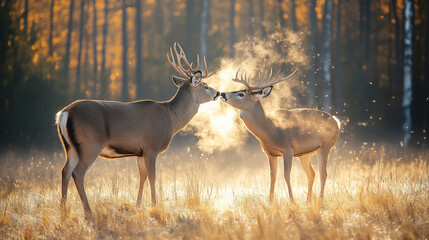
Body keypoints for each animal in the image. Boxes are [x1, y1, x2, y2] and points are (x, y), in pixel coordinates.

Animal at [55, 42, 219, 216]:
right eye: (205, 86)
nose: (218, 93)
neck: (171, 119)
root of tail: (64, 113)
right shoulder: (151, 147)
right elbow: (153, 176)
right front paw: (154, 204)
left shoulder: (139, 152)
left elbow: (143, 176)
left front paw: (138, 204)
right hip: (89, 145)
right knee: (77, 173)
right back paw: (88, 212)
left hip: (70, 147)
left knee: (65, 171)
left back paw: (63, 210)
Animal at [219, 68, 340, 203]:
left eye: (241, 94)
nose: (222, 94)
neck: (270, 130)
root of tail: (336, 121)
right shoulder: (270, 153)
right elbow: (273, 177)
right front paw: (270, 201)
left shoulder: (288, 150)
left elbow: (286, 175)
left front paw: (292, 201)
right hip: (304, 154)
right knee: (312, 174)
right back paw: (308, 201)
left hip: (326, 146)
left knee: (323, 174)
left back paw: (320, 202)